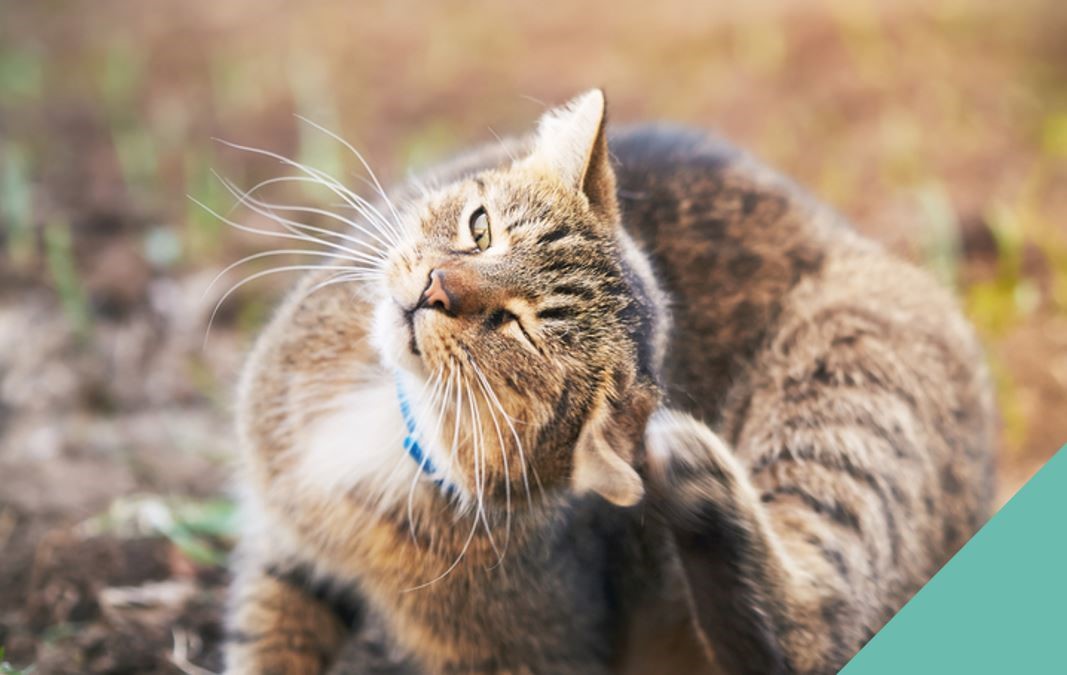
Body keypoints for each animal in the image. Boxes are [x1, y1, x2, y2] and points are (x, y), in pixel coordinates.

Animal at [223, 90, 990, 673]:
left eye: (518, 327)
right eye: (481, 229)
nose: (436, 287)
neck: (399, 418)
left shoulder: (534, 651)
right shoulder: (286, 554)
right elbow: (264, 645)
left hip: (849, 361)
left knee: (816, 628)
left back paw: (701, 477)